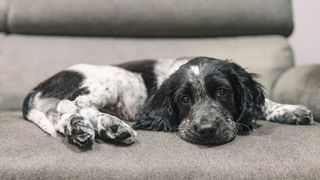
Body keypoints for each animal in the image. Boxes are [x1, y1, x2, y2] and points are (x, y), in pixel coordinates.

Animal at [21, 57, 314, 148]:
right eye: (184, 98)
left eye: (223, 92)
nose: (207, 130)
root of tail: (39, 86)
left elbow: (264, 104)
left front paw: (291, 110)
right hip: (109, 82)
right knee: (70, 106)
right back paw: (109, 126)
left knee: (62, 116)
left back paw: (86, 128)